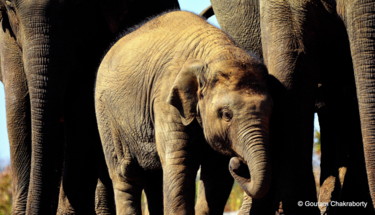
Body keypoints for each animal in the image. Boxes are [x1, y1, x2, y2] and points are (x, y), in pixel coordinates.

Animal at [96, 10, 274, 215]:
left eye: (271, 114)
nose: (237, 162)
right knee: (125, 175)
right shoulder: (166, 102)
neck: (217, 52)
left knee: (153, 178)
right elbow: (180, 163)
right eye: (226, 114)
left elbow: (217, 173)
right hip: (107, 117)